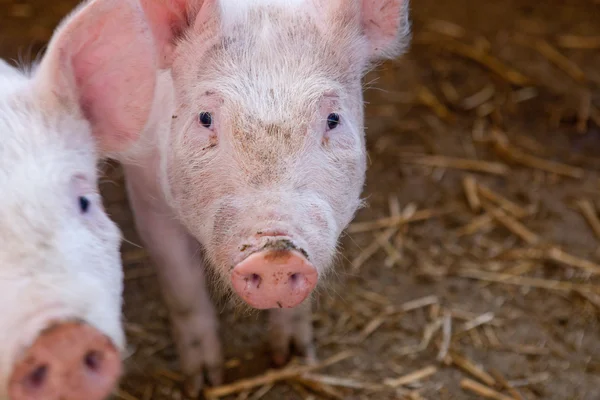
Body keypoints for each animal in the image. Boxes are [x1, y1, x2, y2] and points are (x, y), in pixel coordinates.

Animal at [122, 0, 412, 392]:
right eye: (204, 118)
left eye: (333, 119)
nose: (276, 254)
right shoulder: (145, 189)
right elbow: (182, 288)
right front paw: (205, 383)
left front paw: (293, 359)